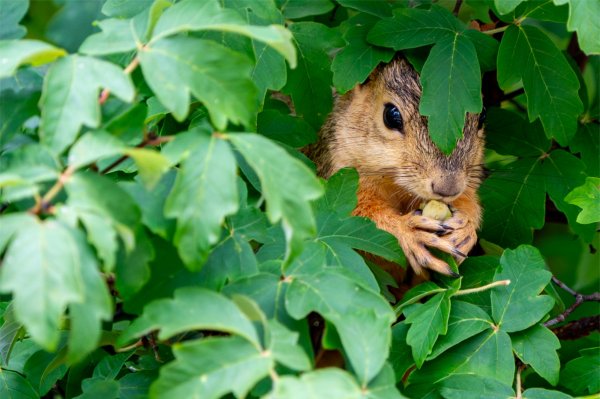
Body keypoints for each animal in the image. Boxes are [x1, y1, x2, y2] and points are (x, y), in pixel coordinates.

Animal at [308, 57, 486, 282]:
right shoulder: (337, 170)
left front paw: (466, 227)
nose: (447, 188)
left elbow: (469, 201)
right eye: (391, 116)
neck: (399, 186)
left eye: (482, 117)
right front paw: (408, 230)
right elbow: (360, 216)